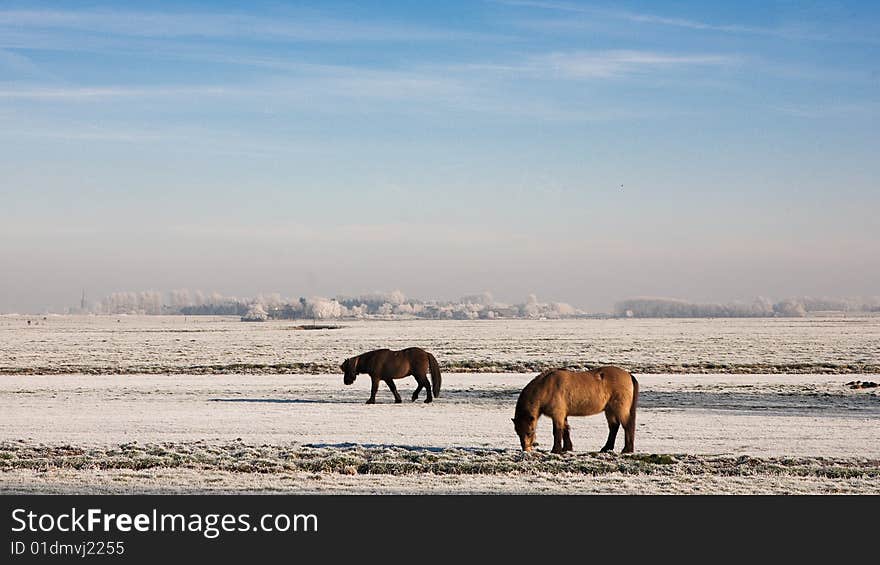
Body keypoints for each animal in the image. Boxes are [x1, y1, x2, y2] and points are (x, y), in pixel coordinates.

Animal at [508, 366, 640, 454]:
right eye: (518, 432)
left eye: (529, 432)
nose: (526, 450)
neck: (547, 388)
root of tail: (629, 375)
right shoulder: (563, 415)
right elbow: (566, 429)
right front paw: (567, 448)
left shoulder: (557, 415)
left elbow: (557, 431)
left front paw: (556, 450)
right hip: (610, 410)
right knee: (614, 427)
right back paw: (606, 448)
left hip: (620, 409)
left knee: (627, 426)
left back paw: (626, 449)